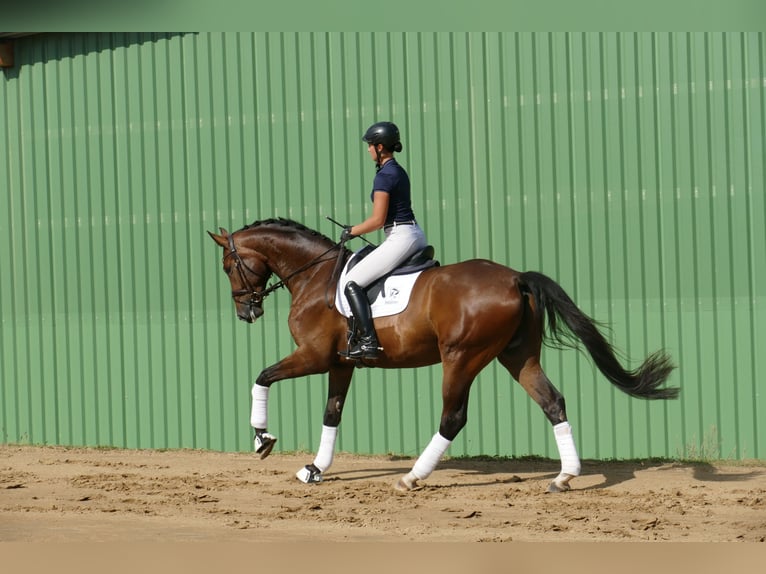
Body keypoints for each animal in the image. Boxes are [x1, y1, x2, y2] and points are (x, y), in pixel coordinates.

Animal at [208, 218, 680, 492]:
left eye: (229, 265)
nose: (247, 311)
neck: (315, 276)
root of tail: (515, 278)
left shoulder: (313, 357)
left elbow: (262, 376)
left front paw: (262, 439)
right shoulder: (341, 363)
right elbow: (332, 414)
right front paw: (315, 469)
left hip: (461, 358)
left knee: (453, 417)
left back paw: (412, 477)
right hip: (517, 357)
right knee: (552, 401)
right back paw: (564, 477)